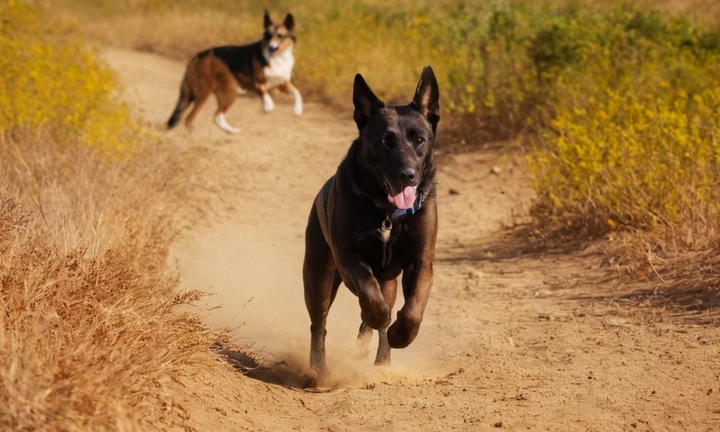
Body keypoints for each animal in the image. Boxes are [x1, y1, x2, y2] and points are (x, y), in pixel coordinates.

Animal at [167, 11, 302, 134]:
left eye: (280, 36)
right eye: (268, 36)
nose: (272, 48)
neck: (278, 58)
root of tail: (198, 56)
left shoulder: (283, 84)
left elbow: (297, 92)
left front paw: (298, 109)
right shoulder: (257, 82)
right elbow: (266, 95)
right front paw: (267, 106)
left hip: (227, 92)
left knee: (217, 116)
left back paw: (231, 131)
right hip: (216, 92)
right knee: (191, 118)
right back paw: (191, 136)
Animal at [302, 66, 438, 372]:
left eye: (419, 139)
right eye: (384, 141)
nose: (407, 174)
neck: (387, 212)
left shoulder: (421, 262)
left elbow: (413, 310)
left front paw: (400, 334)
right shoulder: (348, 257)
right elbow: (369, 293)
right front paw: (378, 317)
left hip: (387, 282)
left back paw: (381, 361)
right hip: (318, 275)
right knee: (319, 324)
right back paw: (318, 369)